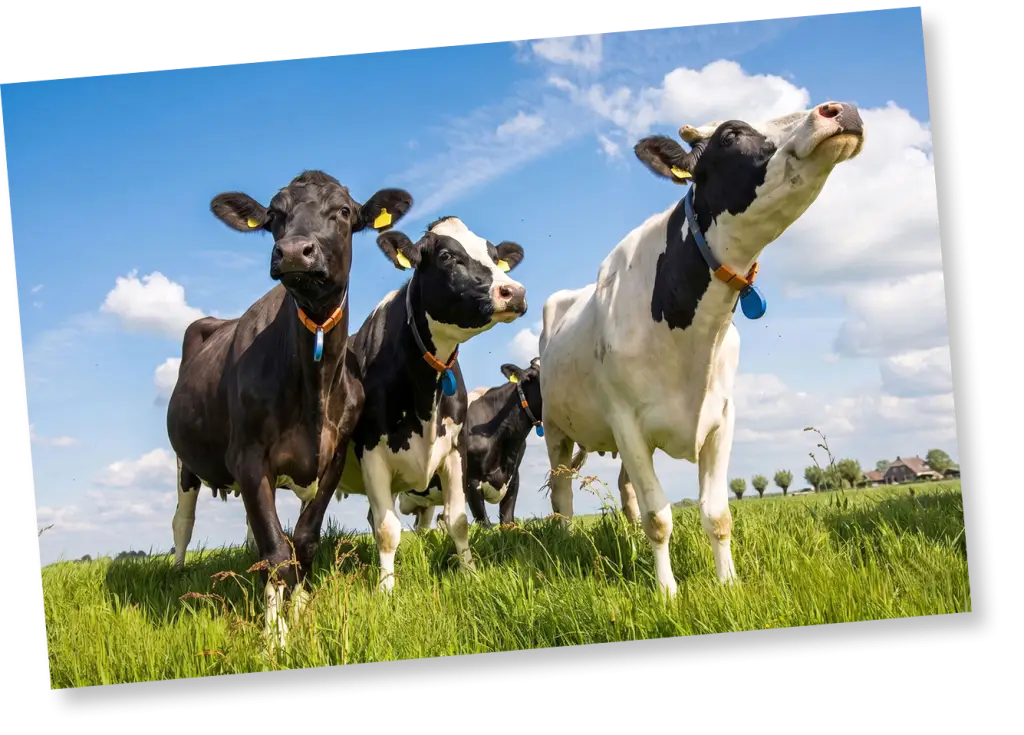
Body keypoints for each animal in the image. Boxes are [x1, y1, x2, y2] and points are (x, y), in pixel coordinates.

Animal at [166, 170, 413, 646]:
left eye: (343, 211)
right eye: (274, 216)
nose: (295, 251)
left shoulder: (333, 455)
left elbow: (303, 541)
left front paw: (298, 610)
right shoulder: (246, 456)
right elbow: (277, 550)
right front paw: (274, 635)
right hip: (186, 461)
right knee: (183, 523)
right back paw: (178, 572)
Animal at [330, 215, 528, 592]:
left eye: (495, 255)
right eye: (447, 256)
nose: (515, 292)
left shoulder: (454, 450)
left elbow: (458, 520)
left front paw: (470, 574)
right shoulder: (371, 451)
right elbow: (387, 529)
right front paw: (386, 589)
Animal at [537, 101, 865, 597]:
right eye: (730, 135)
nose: (840, 109)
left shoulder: (721, 417)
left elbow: (716, 513)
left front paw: (728, 584)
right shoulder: (625, 421)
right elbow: (659, 517)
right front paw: (667, 593)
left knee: (625, 492)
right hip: (556, 428)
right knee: (562, 496)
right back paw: (564, 540)